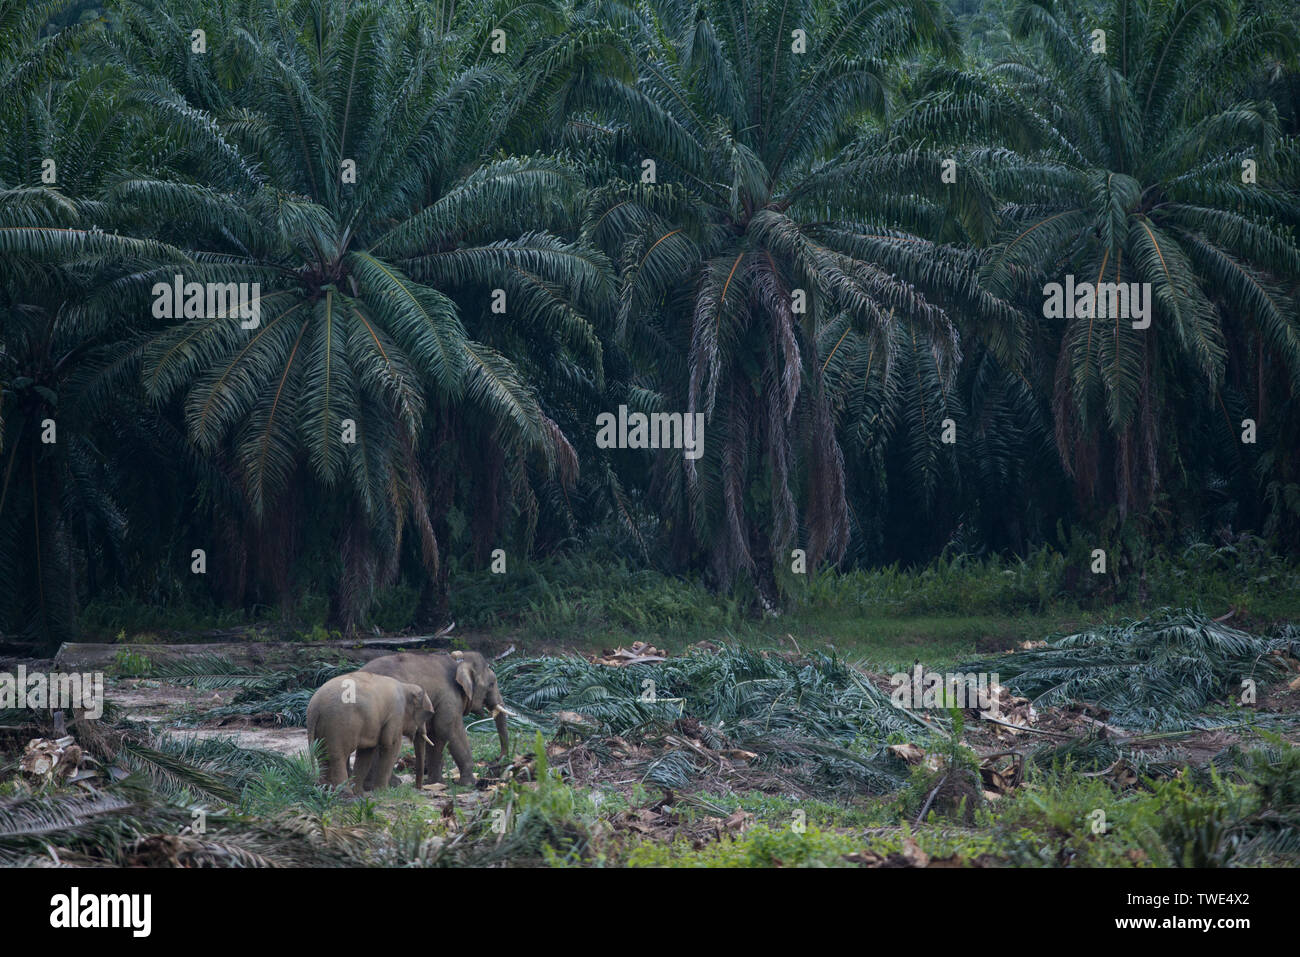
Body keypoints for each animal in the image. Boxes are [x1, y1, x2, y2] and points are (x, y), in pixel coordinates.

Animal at [302, 670, 431, 795]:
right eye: (427, 714)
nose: (419, 788)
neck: (406, 686)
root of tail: (314, 707)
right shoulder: (395, 714)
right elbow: (391, 746)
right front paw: (383, 792)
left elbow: (366, 752)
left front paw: (360, 793)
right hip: (338, 725)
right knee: (337, 756)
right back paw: (345, 792)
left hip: (322, 728)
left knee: (323, 755)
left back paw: (326, 789)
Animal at [366, 650, 512, 790]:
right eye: (491, 684)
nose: (497, 759)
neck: (459, 660)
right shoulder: (448, 697)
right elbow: (448, 728)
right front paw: (469, 783)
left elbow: (435, 735)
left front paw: (436, 783)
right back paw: (391, 784)